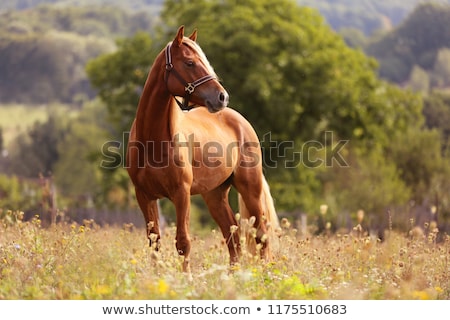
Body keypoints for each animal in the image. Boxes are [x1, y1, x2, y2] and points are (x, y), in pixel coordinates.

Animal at [124, 25, 278, 272]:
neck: (152, 141)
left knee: (260, 235)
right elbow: (154, 242)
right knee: (232, 236)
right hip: (214, 195)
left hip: (250, 189)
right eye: (189, 63)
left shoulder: (181, 193)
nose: (222, 97)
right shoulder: (144, 195)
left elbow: (183, 242)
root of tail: (240, 121)